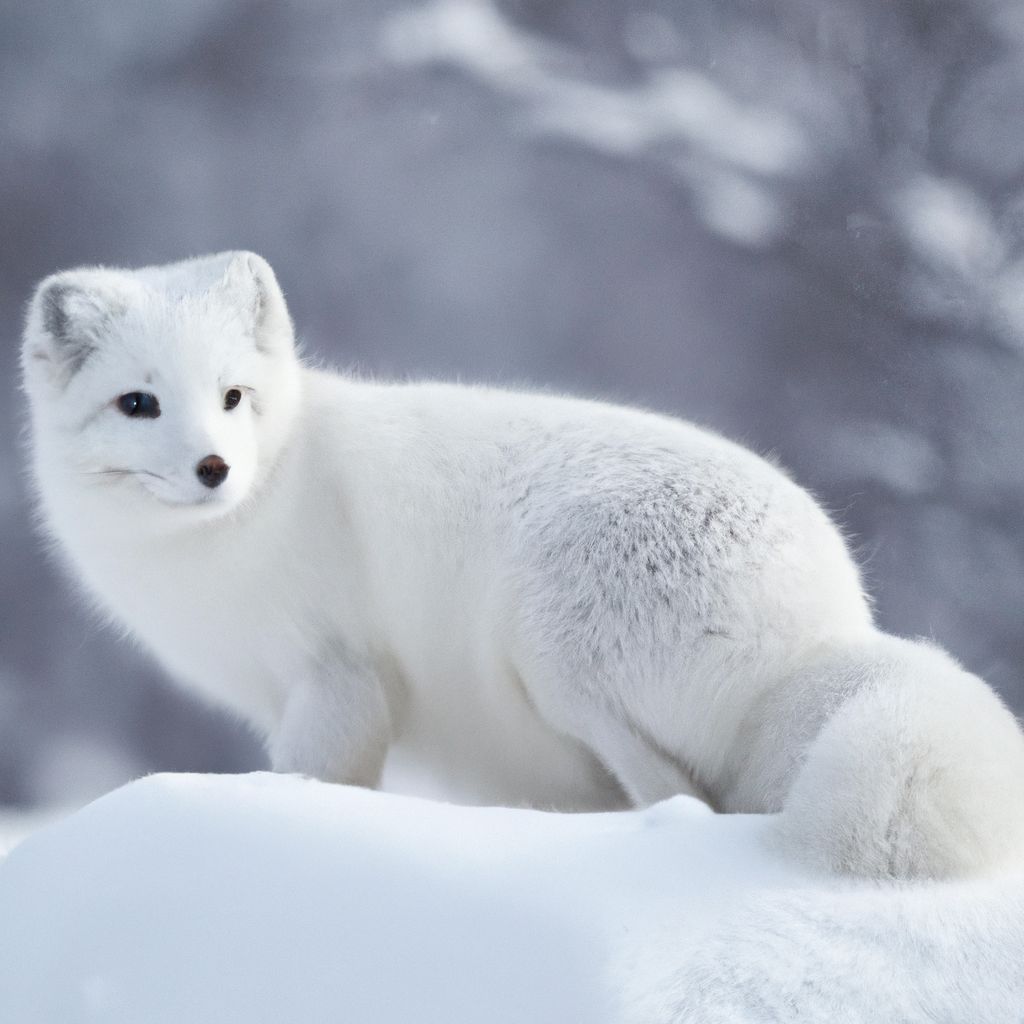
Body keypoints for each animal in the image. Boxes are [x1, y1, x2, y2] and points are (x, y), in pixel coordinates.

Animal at [19, 249, 1024, 880]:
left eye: (234, 397)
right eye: (139, 403)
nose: (214, 467)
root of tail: (830, 629)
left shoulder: (339, 675)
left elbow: (321, 776)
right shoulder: (286, 693)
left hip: (553, 657)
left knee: (688, 798)